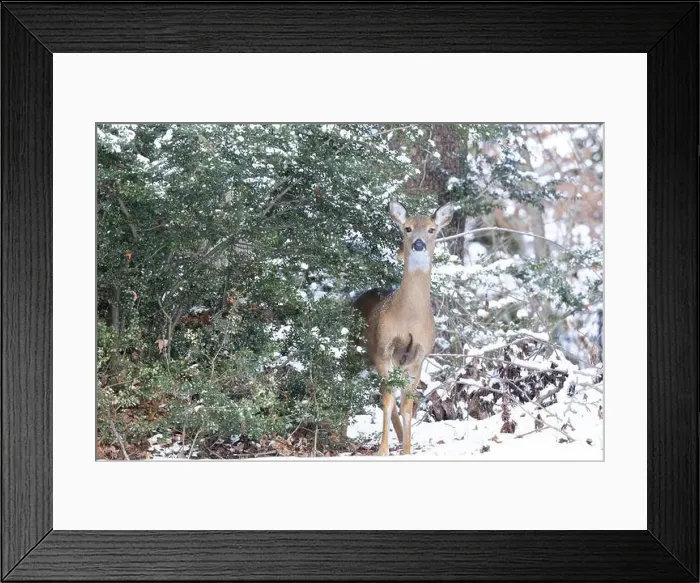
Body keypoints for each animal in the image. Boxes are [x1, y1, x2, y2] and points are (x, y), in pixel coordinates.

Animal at [353, 200, 454, 455]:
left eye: (431, 229)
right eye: (407, 228)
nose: (418, 243)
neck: (409, 318)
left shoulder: (418, 357)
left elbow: (407, 405)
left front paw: (407, 450)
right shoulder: (384, 350)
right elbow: (388, 402)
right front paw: (383, 451)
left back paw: (400, 439)